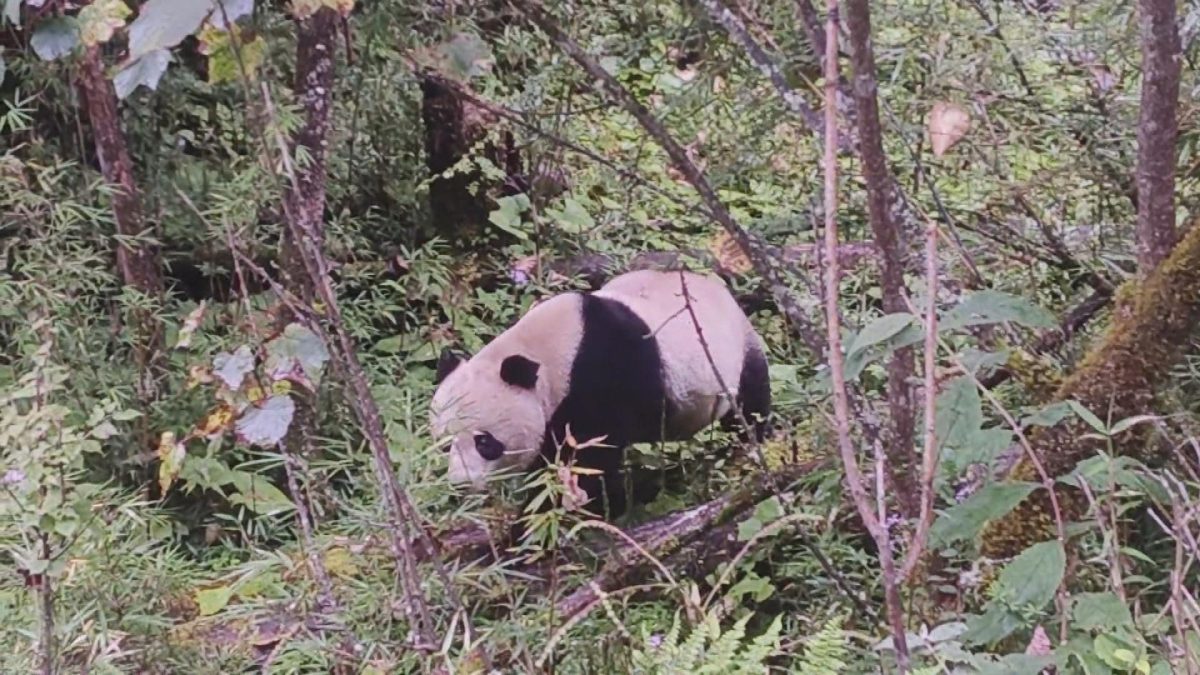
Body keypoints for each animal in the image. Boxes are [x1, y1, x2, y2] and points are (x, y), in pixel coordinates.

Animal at [429, 268, 771, 521]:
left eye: (484, 442)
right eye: (444, 444)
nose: (460, 485)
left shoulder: (601, 378)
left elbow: (590, 460)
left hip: (734, 355)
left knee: (749, 406)